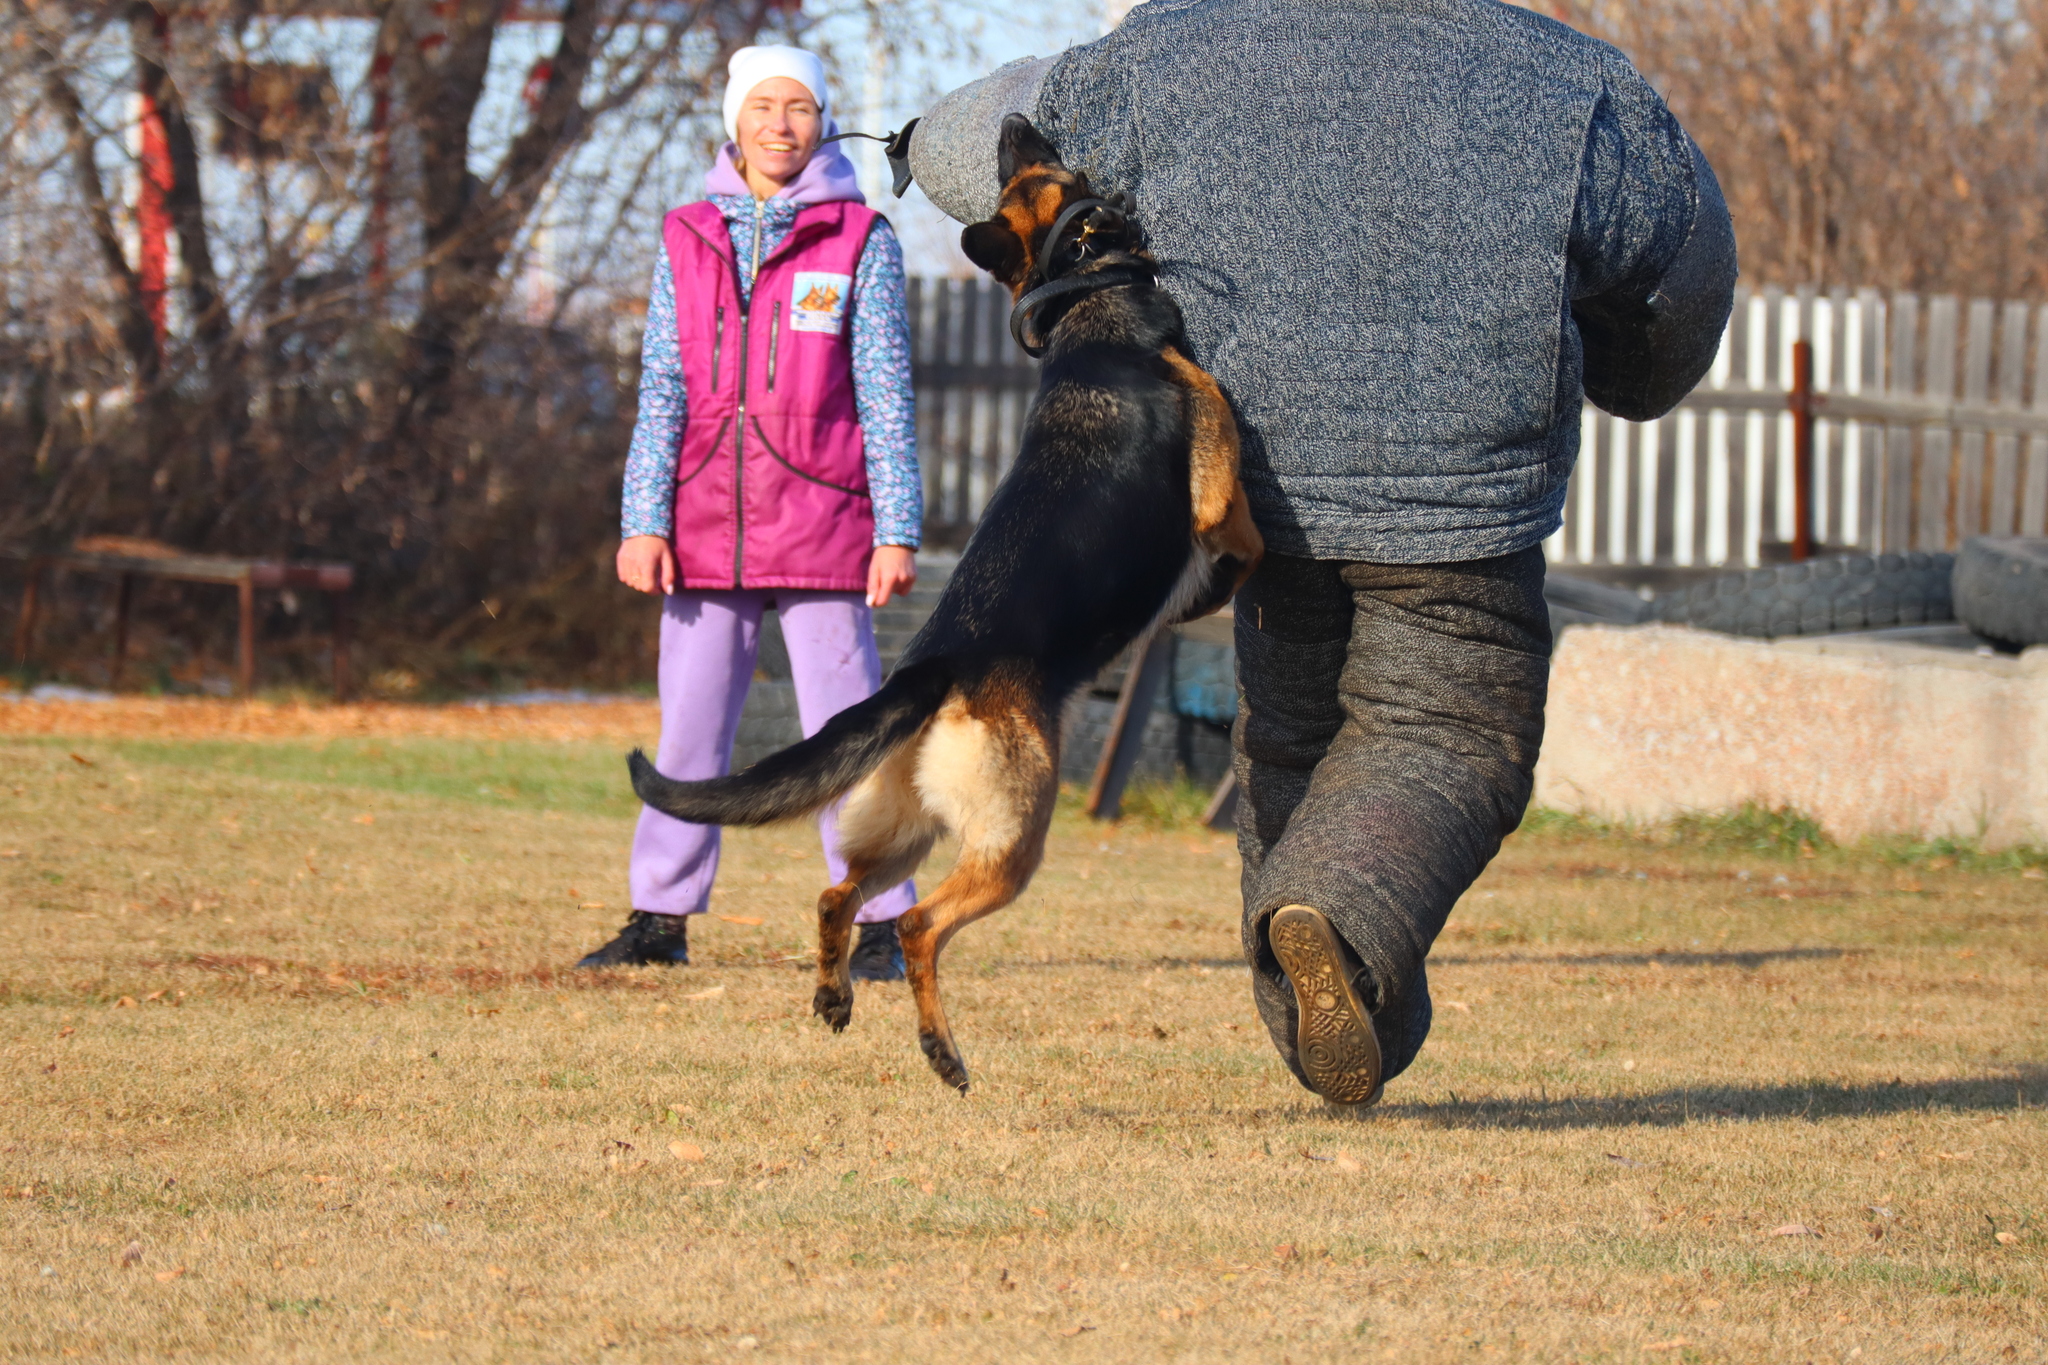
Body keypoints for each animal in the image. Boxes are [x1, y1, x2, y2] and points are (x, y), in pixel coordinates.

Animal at [626, 120, 1261, 1096]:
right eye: (1041, 167)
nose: (1012, 123)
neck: (1089, 312)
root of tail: (935, 667)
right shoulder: (1220, 493)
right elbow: (1250, 541)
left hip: (903, 826)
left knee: (838, 895)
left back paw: (836, 996)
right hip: (1012, 839)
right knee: (919, 926)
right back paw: (942, 1049)